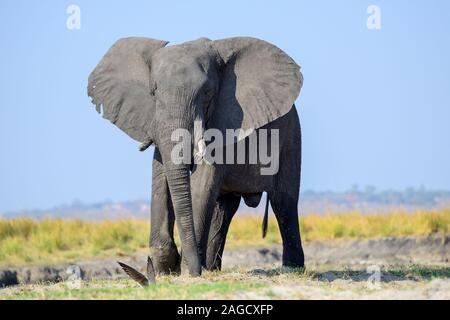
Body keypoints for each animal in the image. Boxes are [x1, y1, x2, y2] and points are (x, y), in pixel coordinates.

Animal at [87, 35, 306, 278]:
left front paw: (184, 271)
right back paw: (212, 268)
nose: (192, 270)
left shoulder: (223, 121)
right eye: (154, 92)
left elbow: (201, 183)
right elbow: (160, 178)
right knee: (224, 209)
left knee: (284, 201)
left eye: (207, 92)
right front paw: (166, 268)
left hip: (291, 138)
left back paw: (292, 269)